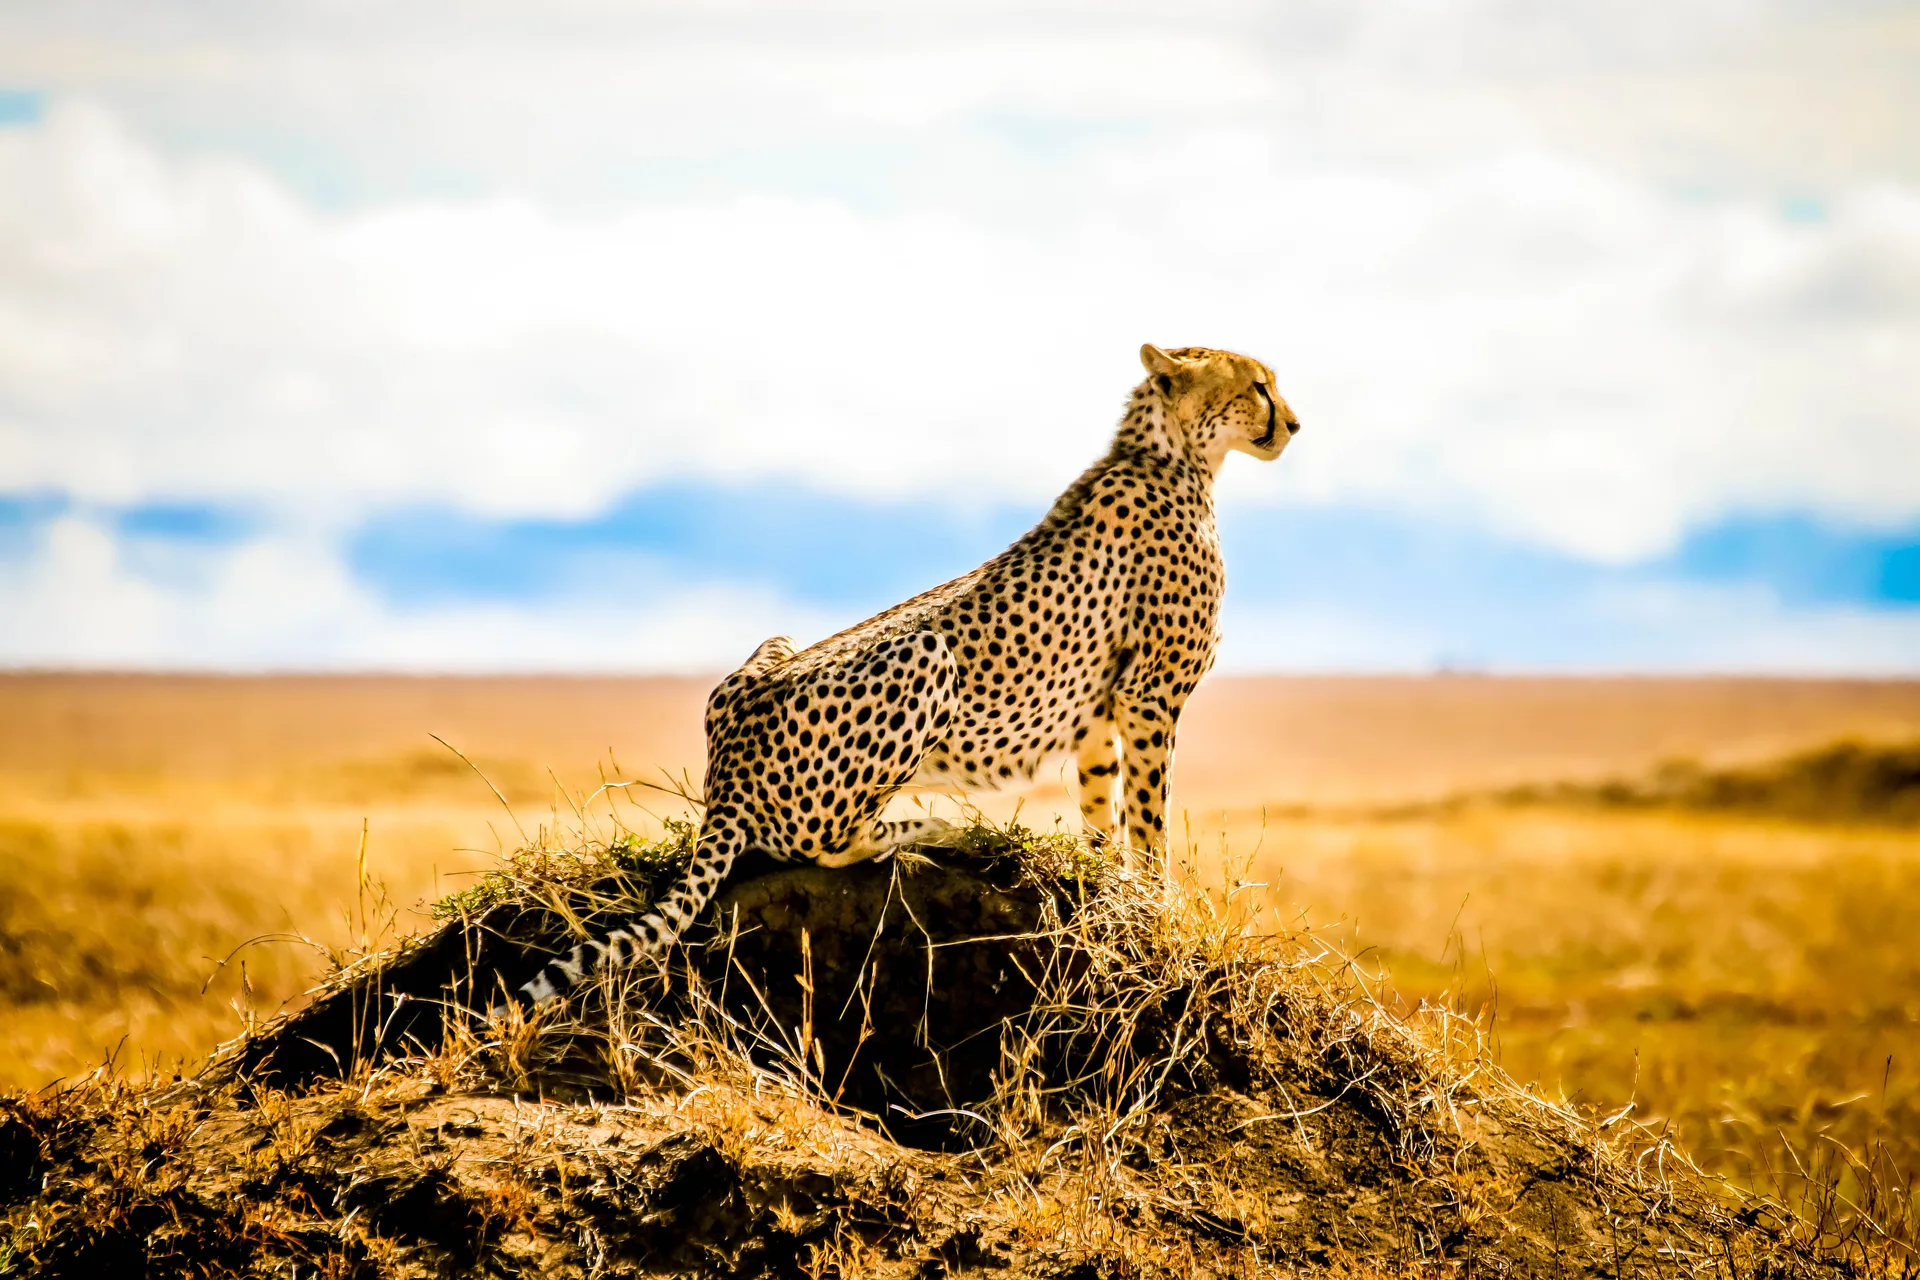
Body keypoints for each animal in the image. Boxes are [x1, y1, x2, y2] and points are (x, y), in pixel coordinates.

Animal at [498, 344, 1300, 1011]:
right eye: (1258, 385)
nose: (1293, 423)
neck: (1174, 455)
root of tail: (726, 770)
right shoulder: (1150, 697)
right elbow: (1150, 818)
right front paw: (1158, 907)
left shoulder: (1105, 711)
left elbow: (1106, 816)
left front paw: (1113, 893)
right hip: (927, 657)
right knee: (824, 842)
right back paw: (932, 825)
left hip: (772, 649)